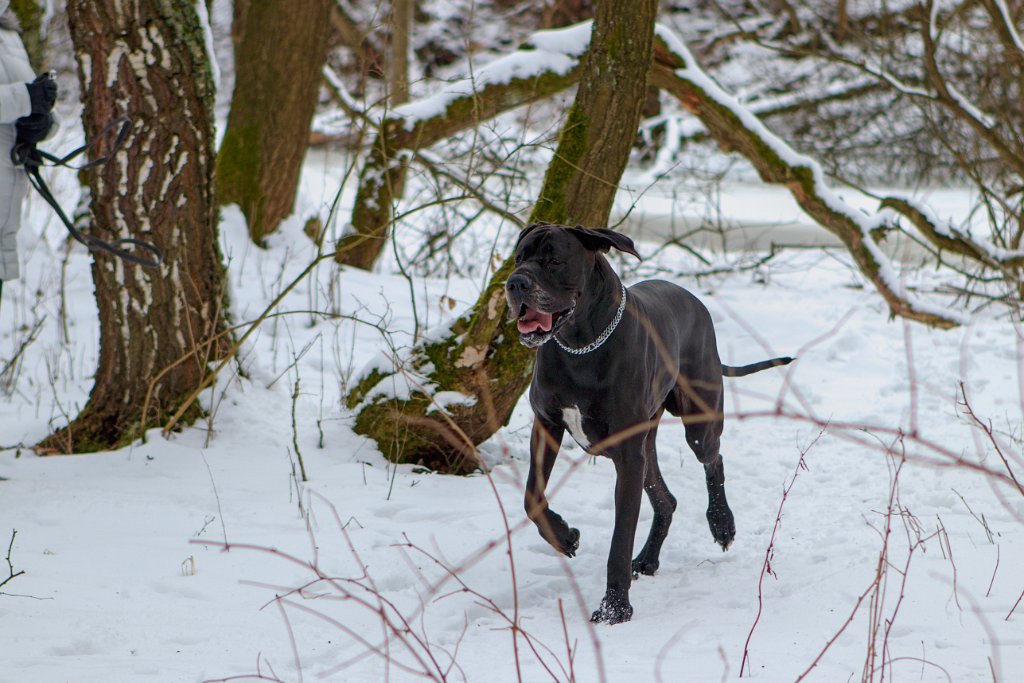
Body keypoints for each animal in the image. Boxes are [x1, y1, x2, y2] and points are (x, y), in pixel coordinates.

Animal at [503, 223, 790, 626]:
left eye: (554, 261)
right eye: (518, 259)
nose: (515, 284)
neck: (579, 345)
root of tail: (694, 300)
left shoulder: (627, 455)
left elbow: (620, 539)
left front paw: (614, 609)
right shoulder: (547, 426)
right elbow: (532, 497)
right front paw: (565, 537)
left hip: (697, 419)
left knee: (713, 458)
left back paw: (721, 523)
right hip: (645, 446)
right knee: (666, 500)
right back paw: (649, 559)